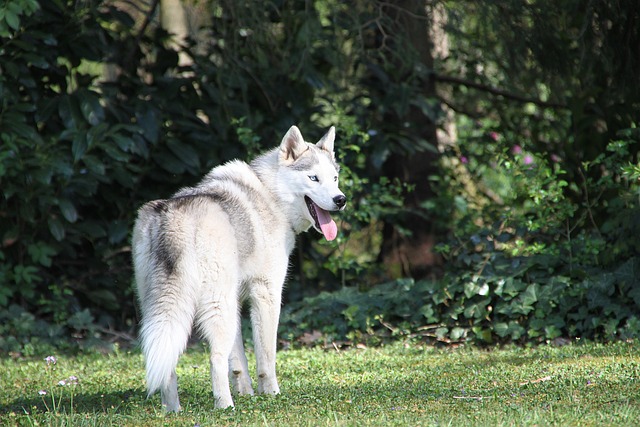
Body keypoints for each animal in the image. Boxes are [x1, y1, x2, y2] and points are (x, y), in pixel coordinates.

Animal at [132, 126, 348, 412]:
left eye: (334, 178)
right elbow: (266, 358)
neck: (271, 195)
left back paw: (173, 412)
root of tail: (172, 216)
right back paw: (225, 406)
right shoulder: (266, 296)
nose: (341, 200)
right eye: (313, 178)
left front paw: (247, 395)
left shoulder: (236, 301)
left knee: (168, 364)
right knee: (214, 359)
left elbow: (238, 364)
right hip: (216, 308)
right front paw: (271, 394)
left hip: (164, 311)